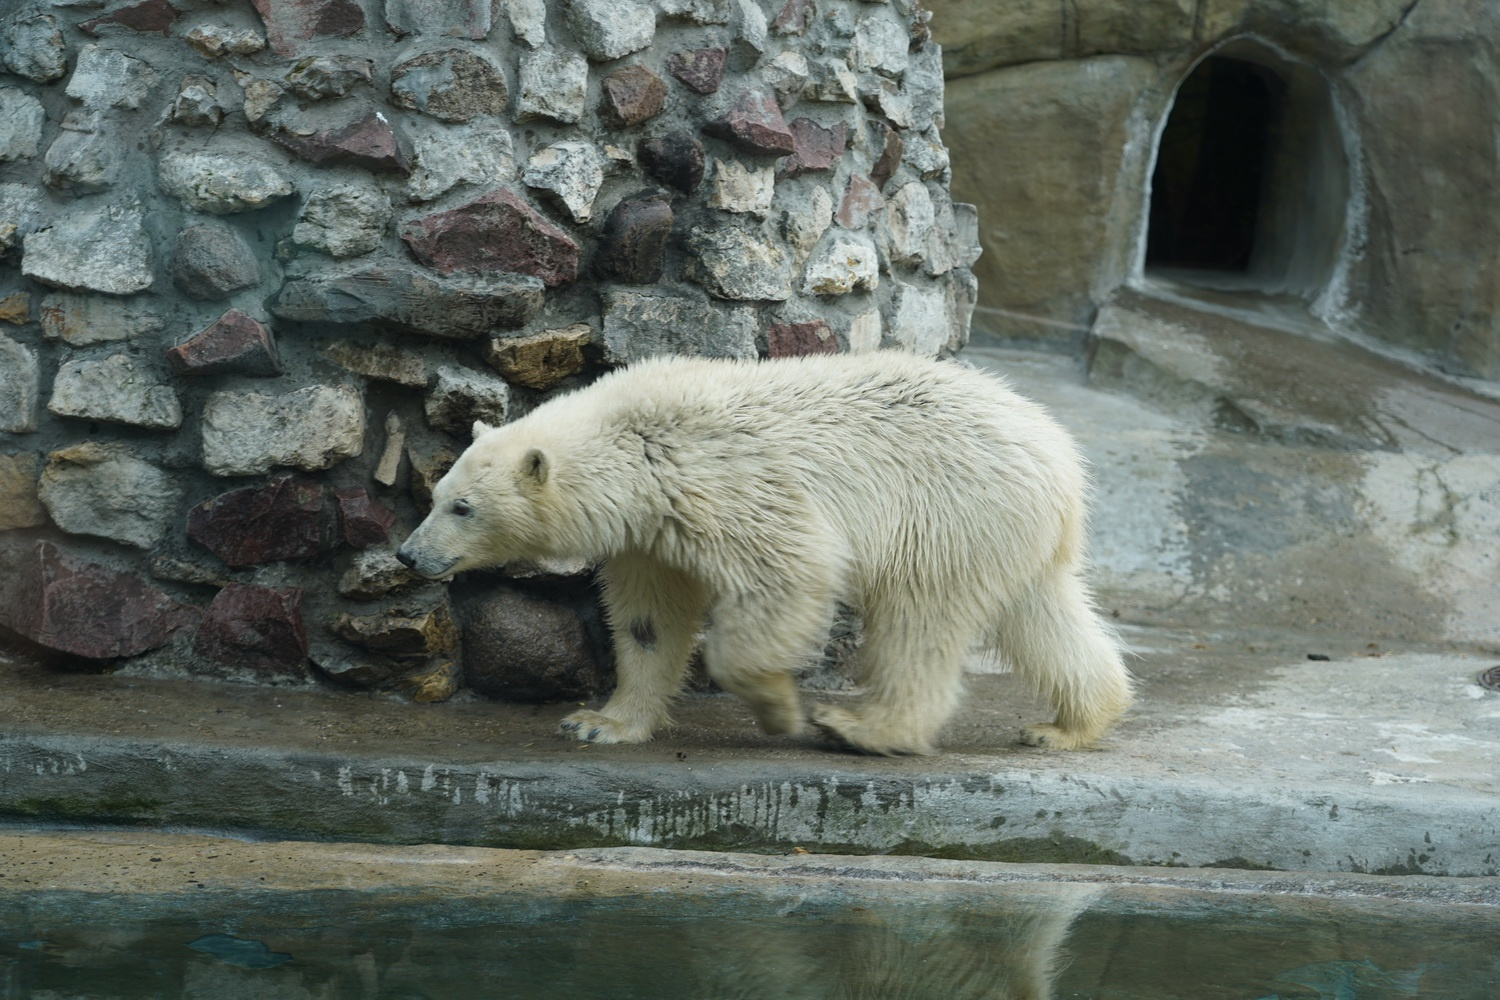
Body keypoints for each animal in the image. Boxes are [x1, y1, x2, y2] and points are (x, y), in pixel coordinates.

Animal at [396, 352, 1128, 749]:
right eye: (437, 493)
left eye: (463, 507)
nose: (408, 555)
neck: (637, 444)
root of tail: (1060, 454)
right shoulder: (647, 535)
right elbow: (649, 621)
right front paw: (598, 722)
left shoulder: (718, 482)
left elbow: (789, 571)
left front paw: (776, 705)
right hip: (1008, 529)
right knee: (1041, 612)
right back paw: (1070, 724)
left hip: (950, 509)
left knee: (920, 620)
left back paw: (865, 728)